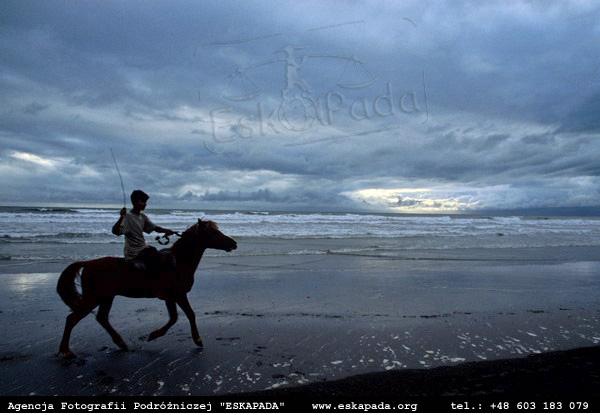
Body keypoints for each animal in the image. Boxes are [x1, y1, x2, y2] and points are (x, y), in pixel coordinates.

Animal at [54, 219, 237, 360]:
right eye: (213, 233)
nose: (234, 243)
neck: (179, 262)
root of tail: (87, 263)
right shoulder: (178, 295)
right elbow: (189, 315)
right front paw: (197, 340)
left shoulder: (170, 297)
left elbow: (174, 318)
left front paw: (154, 334)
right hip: (94, 298)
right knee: (72, 319)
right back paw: (65, 351)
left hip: (106, 297)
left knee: (102, 318)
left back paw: (121, 343)